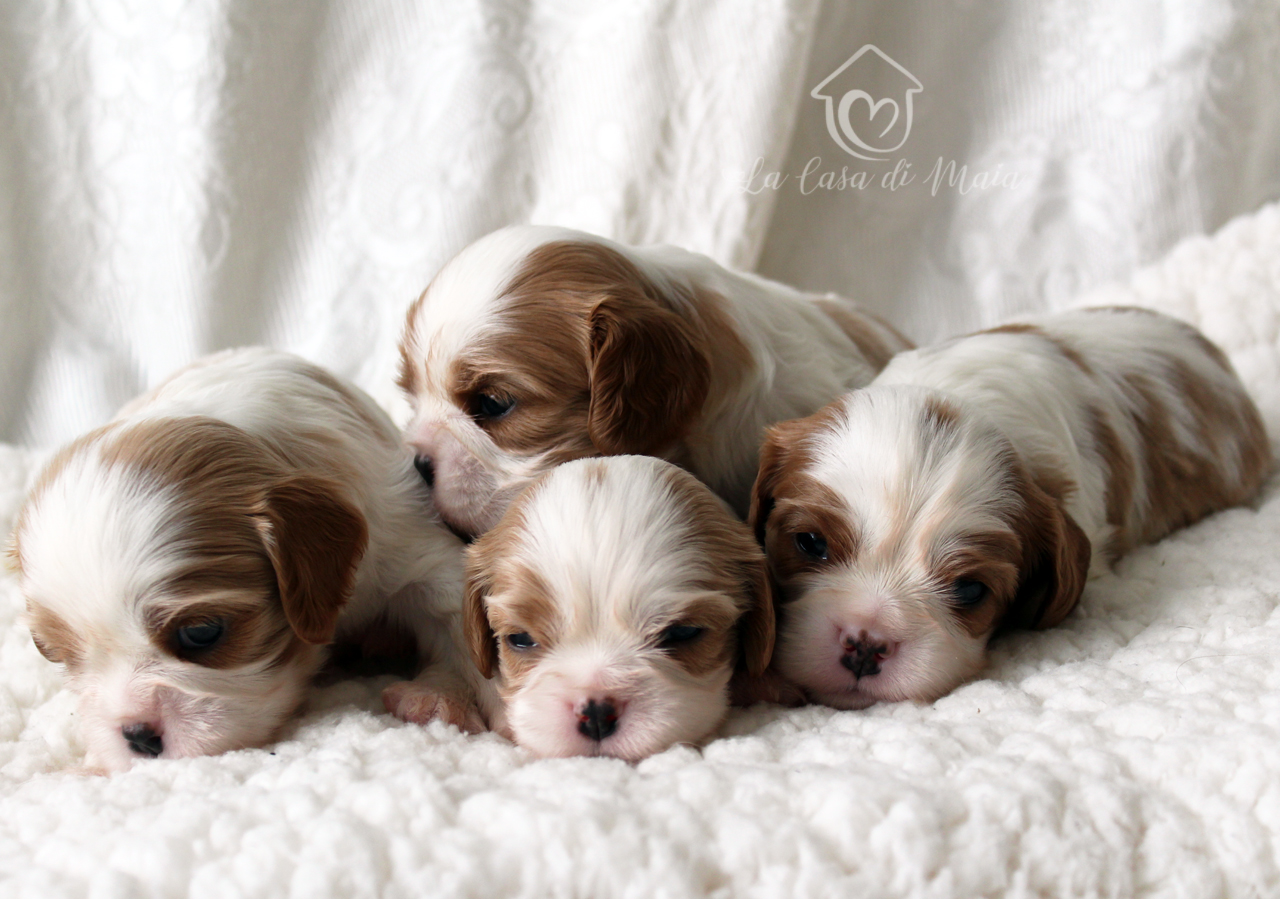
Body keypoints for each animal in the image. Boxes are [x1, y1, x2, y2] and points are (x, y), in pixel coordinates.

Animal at [8, 348, 495, 771]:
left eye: (201, 633)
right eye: (61, 655)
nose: (137, 737)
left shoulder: (407, 540)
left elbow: (457, 625)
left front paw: (441, 698)